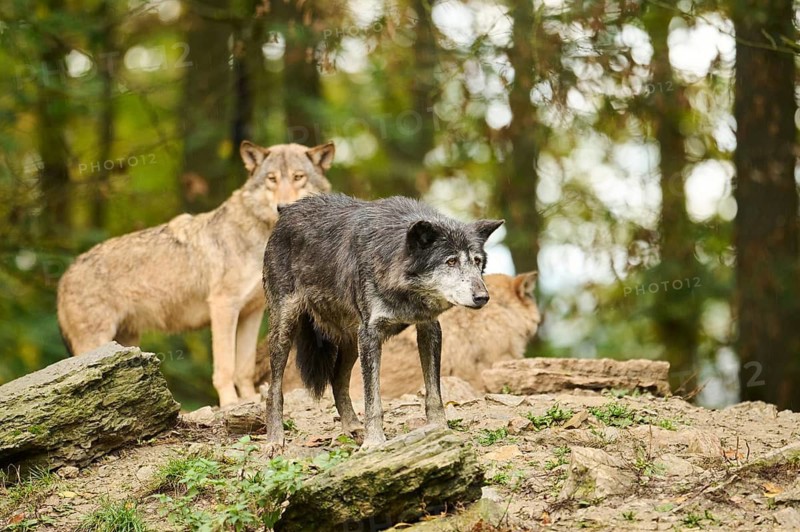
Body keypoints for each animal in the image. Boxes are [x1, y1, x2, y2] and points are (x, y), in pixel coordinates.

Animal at [57, 141, 335, 407]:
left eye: (298, 177)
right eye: (272, 179)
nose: (282, 206)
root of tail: (65, 276)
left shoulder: (252, 312)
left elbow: (243, 368)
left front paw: (248, 398)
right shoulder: (223, 306)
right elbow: (225, 366)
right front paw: (230, 402)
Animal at [262, 193, 503, 447]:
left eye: (477, 261)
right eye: (451, 261)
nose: (482, 297)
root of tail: (288, 208)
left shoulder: (428, 328)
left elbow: (434, 394)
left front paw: (440, 429)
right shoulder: (371, 334)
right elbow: (373, 401)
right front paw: (375, 442)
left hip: (352, 340)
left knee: (337, 381)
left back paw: (352, 428)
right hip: (286, 328)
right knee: (274, 390)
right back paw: (275, 441)